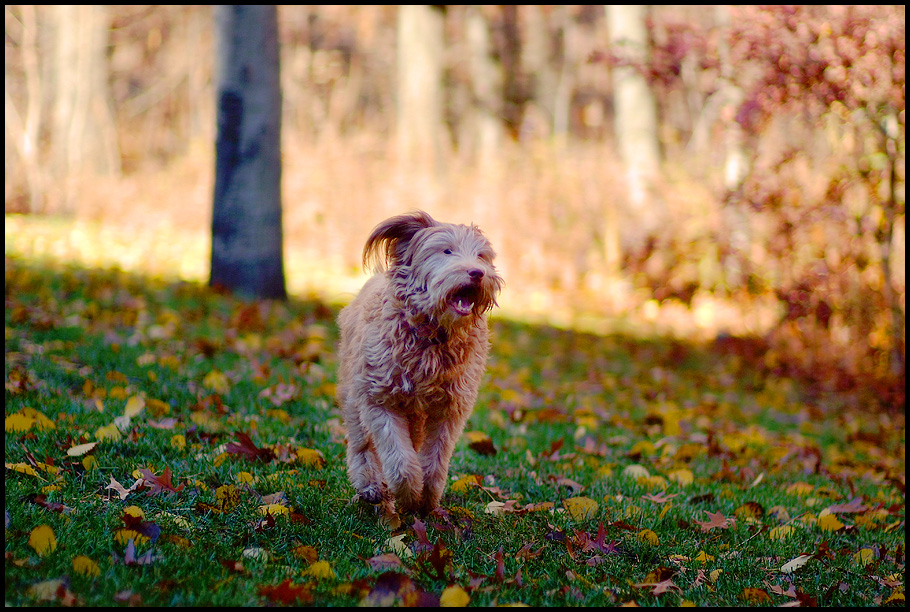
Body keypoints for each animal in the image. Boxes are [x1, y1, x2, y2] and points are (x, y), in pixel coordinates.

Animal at [336, 210, 502, 516]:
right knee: (361, 445)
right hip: (355, 395)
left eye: (481, 256)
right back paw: (370, 487)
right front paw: (409, 494)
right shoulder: (379, 399)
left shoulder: (451, 408)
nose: (477, 273)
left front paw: (426, 498)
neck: (433, 334)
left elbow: (435, 459)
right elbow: (399, 459)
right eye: (446, 251)